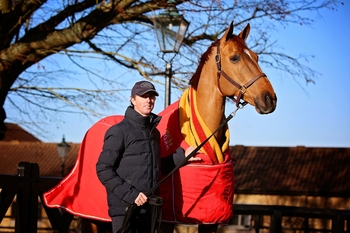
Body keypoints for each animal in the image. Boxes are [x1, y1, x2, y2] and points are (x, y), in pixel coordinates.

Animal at [42, 20, 276, 232]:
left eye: (256, 57)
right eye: (235, 58)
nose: (270, 99)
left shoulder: (210, 220)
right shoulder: (165, 221)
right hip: (93, 219)